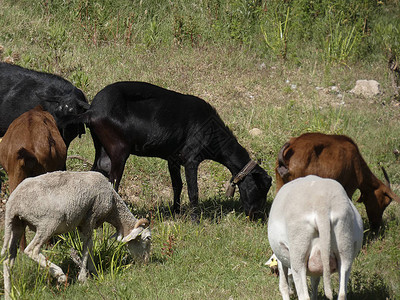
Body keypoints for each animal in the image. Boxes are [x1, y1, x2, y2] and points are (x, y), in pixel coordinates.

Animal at [1, 170, 152, 298]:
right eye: (147, 239)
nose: (146, 263)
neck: (114, 205)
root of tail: (13, 202)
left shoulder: (83, 223)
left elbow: (89, 246)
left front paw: (94, 272)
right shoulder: (91, 217)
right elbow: (87, 246)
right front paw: (84, 278)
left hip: (17, 225)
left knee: (8, 261)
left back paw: (9, 294)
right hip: (48, 223)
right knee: (31, 250)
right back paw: (60, 275)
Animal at [67, 82, 272, 218]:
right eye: (259, 187)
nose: (255, 214)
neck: (212, 131)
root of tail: (92, 111)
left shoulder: (173, 159)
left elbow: (177, 185)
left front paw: (176, 211)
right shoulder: (191, 158)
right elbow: (193, 190)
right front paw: (195, 219)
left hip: (102, 148)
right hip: (118, 150)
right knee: (113, 184)